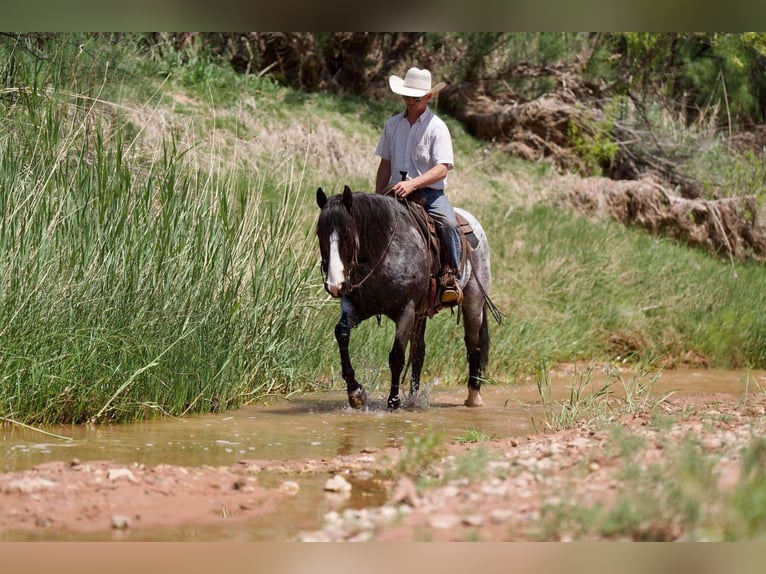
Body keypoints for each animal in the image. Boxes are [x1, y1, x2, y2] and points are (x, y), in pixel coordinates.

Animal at [315, 185, 499, 410]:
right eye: (320, 233)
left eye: (347, 233)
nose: (334, 285)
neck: (383, 252)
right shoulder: (355, 307)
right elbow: (341, 333)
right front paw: (356, 393)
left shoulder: (406, 311)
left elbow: (396, 356)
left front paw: (393, 402)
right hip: (422, 313)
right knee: (419, 351)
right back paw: (412, 399)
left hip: (473, 302)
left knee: (474, 346)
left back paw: (473, 398)